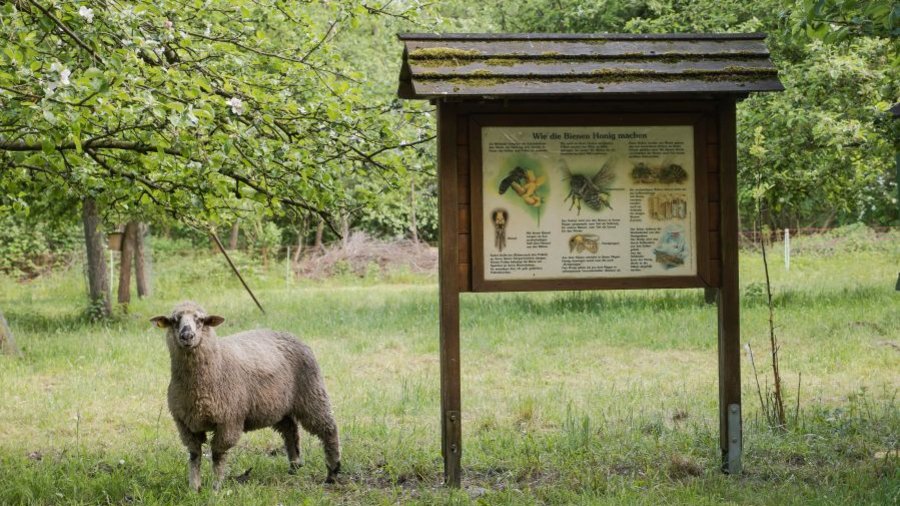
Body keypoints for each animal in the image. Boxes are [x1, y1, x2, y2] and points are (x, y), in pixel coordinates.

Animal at [151, 301, 340, 492]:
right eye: (174, 320)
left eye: (201, 320)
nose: (187, 335)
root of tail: (289, 334)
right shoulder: (185, 424)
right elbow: (194, 455)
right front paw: (194, 488)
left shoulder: (229, 422)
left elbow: (218, 455)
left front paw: (215, 488)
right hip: (278, 405)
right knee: (290, 429)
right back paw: (295, 467)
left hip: (311, 394)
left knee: (328, 429)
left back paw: (333, 472)